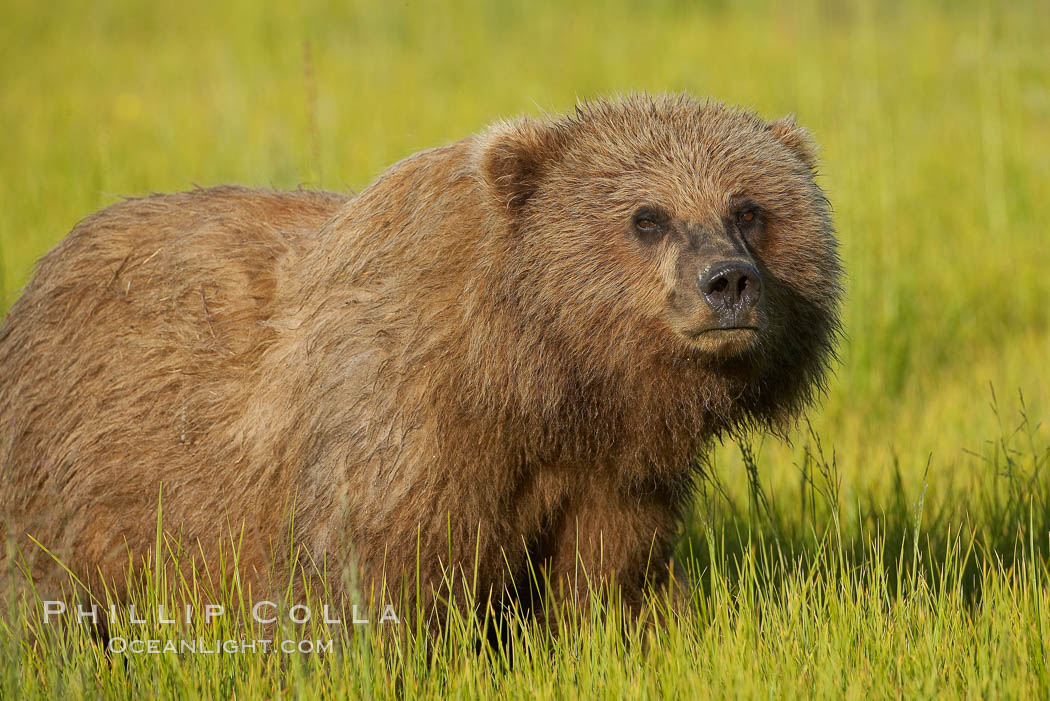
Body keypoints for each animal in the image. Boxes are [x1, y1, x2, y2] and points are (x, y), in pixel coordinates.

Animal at [0, 94, 835, 629]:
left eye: (749, 207)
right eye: (647, 217)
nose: (727, 281)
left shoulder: (609, 478)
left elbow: (609, 581)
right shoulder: (397, 439)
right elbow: (369, 585)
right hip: (72, 480)